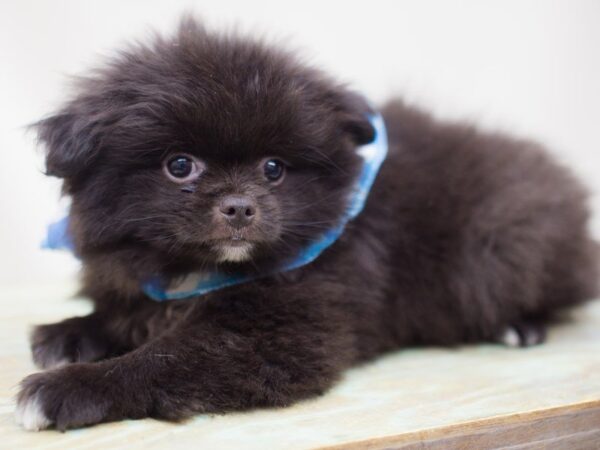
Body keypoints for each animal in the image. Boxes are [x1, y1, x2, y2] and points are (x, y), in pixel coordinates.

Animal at [16, 18, 596, 432]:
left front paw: (68, 388)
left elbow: (162, 358)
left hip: (500, 246)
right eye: (179, 165)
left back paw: (519, 326)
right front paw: (72, 333)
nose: (239, 206)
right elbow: (127, 317)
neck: (196, 272)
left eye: (274, 169)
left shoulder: (278, 337)